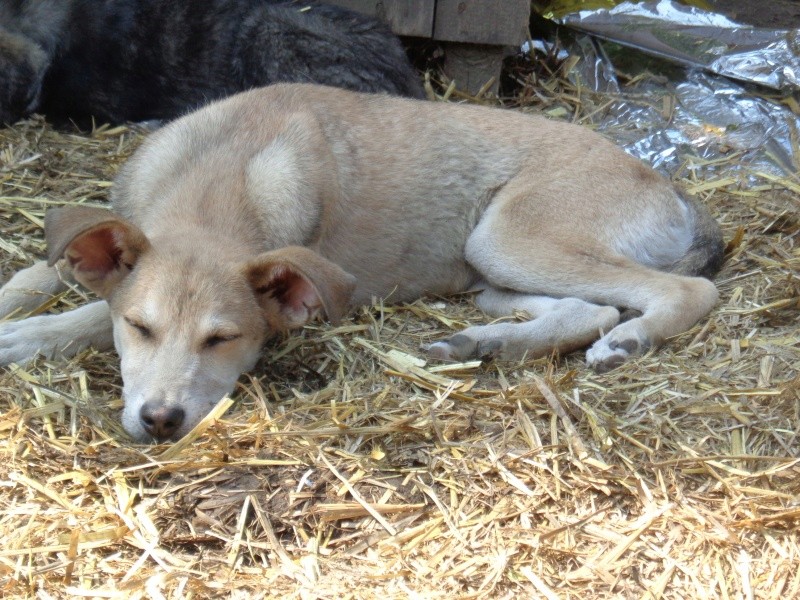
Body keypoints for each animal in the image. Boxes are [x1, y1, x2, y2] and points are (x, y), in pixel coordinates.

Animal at [0, 83, 724, 440]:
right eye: (142, 329)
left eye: (223, 339)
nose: (160, 422)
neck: (224, 170)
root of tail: (663, 180)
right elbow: (43, 270)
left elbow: (87, 314)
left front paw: (22, 338)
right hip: (492, 271)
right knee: (587, 307)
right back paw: (482, 343)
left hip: (509, 238)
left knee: (685, 293)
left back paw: (629, 341)